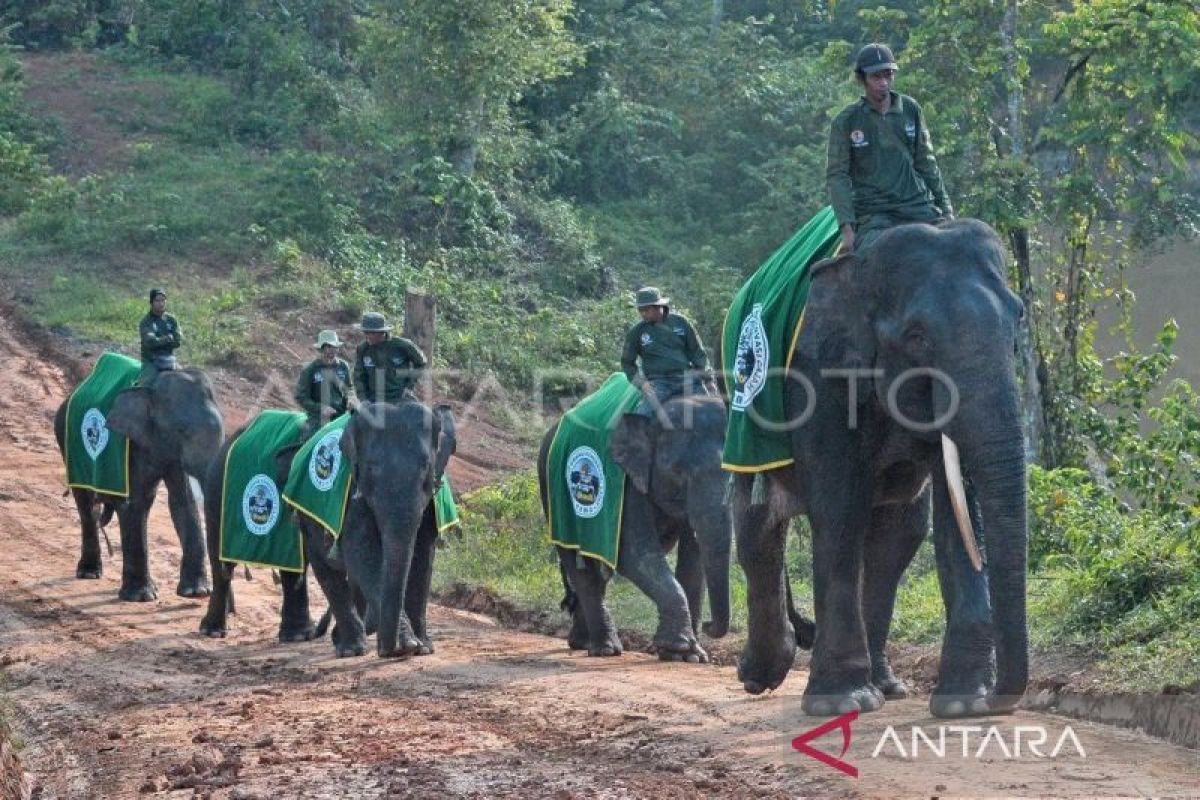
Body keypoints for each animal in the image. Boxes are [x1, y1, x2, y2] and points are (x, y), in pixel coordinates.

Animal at [53, 369, 225, 599]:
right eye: (181, 430)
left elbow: (183, 501)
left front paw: (196, 592)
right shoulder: (130, 445)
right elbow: (134, 503)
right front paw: (141, 597)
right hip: (68, 443)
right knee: (86, 505)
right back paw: (89, 573)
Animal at [302, 402, 456, 662]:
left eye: (426, 466)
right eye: (371, 468)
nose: (387, 649)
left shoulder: (432, 503)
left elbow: (423, 554)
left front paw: (423, 647)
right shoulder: (353, 488)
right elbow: (362, 551)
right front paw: (406, 645)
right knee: (325, 569)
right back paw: (351, 648)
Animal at [540, 393, 734, 662]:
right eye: (677, 472)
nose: (707, 624)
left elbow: (694, 561)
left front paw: (693, 656)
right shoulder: (625, 483)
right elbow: (635, 554)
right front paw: (680, 650)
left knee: (597, 571)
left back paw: (582, 642)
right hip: (555, 498)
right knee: (582, 568)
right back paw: (605, 649)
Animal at [729, 219, 1032, 719]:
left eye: (1017, 320)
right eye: (917, 337)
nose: (998, 701)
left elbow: (959, 513)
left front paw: (963, 704)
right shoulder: (819, 376)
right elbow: (839, 509)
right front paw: (840, 703)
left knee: (899, 535)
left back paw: (886, 686)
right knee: (756, 526)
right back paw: (761, 676)